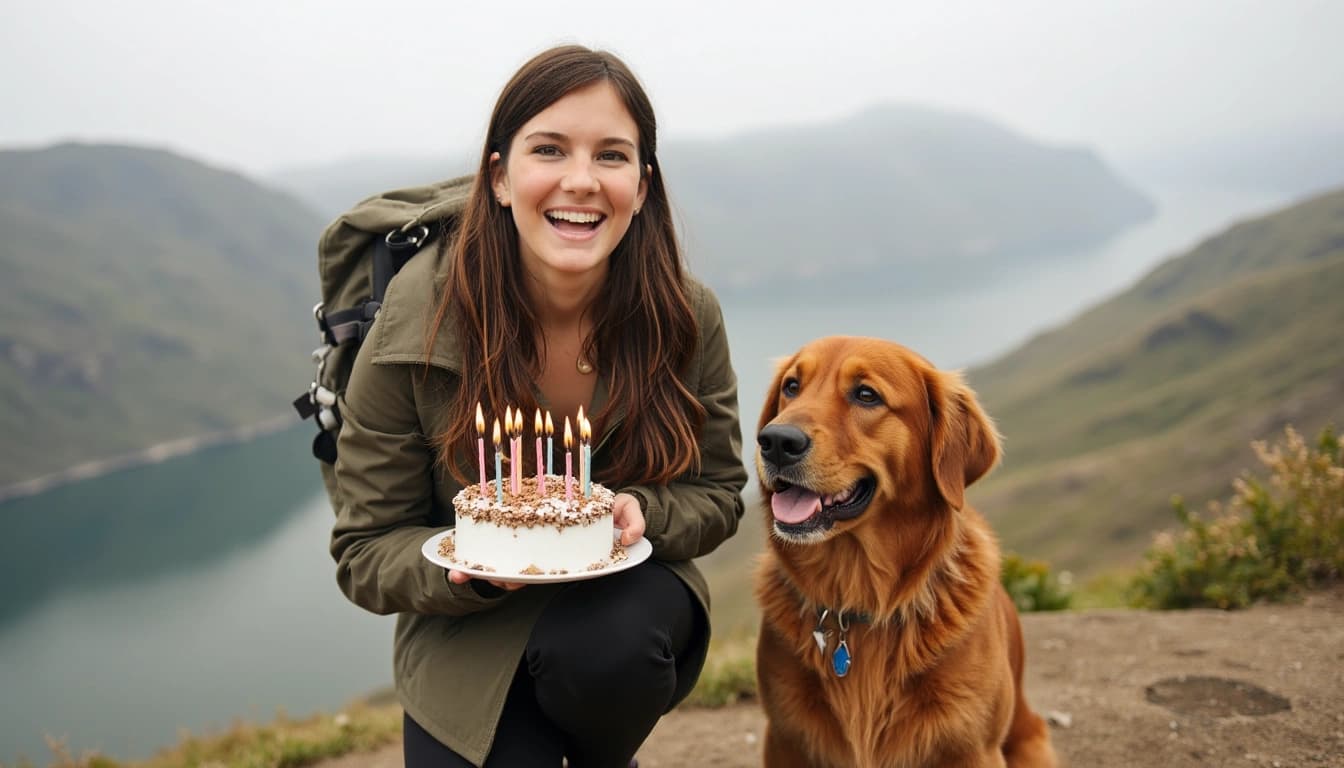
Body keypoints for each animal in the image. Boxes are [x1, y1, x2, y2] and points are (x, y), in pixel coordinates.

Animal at [752, 336, 1053, 768]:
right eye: (792, 387)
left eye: (866, 395)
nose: (775, 441)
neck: (862, 602)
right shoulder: (785, 741)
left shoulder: (973, 748)